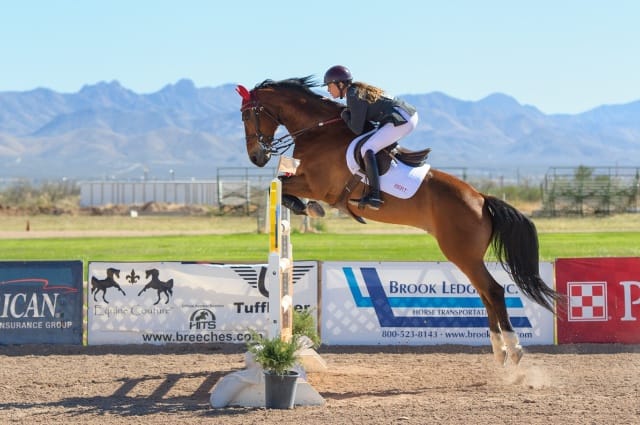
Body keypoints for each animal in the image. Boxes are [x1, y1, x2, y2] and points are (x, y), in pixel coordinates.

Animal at [238, 75, 564, 364]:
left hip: (461, 252)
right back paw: (499, 352)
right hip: (468, 256)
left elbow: (280, 185)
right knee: (485, 293)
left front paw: (308, 207)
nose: (256, 156)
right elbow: (281, 185)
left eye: (247, 115)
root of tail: (481, 199)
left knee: (493, 291)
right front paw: (305, 207)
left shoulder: (317, 185)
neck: (317, 132)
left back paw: (514, 350)